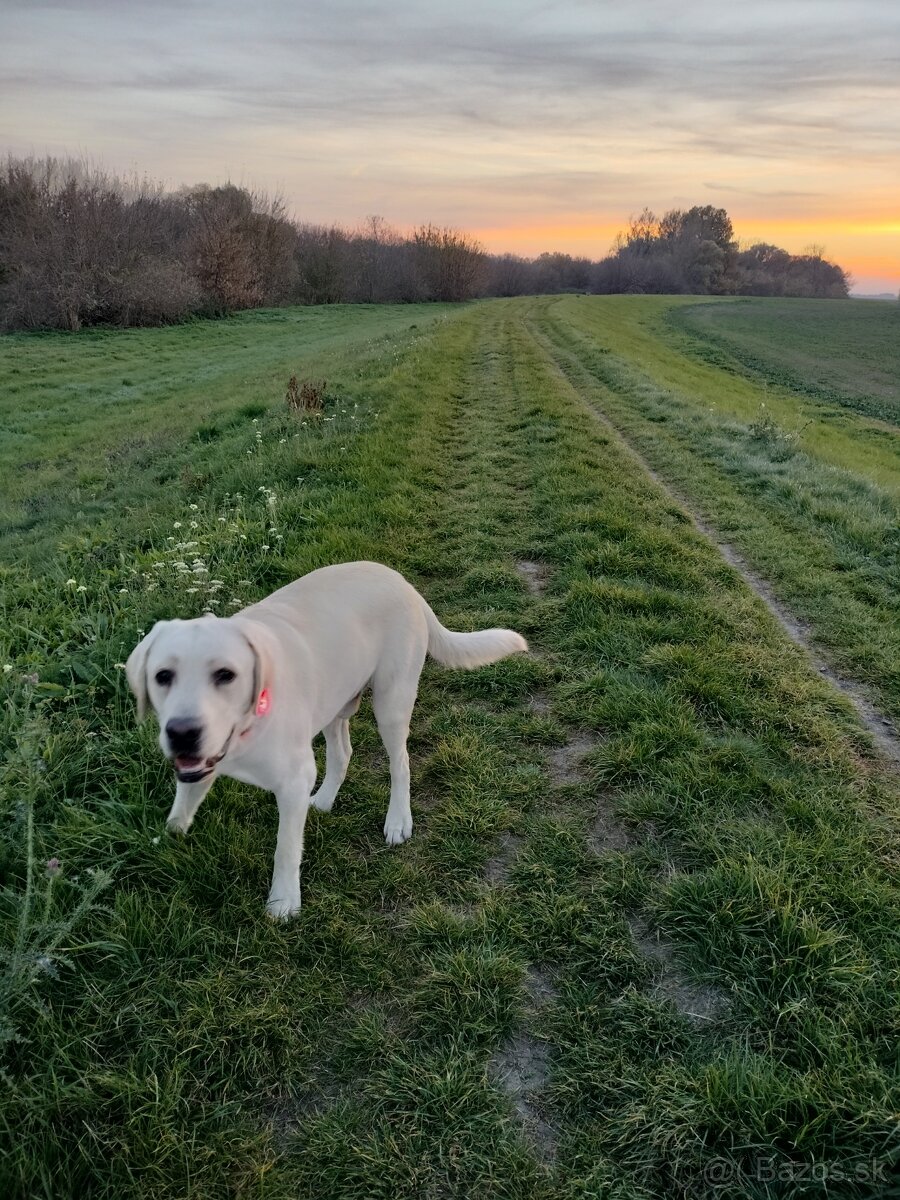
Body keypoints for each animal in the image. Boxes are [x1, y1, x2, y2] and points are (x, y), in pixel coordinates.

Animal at [123, 561, 525, 916]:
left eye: (226, 675)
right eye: (162, 676)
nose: (182, 732)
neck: (247, 726)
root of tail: (401, 581)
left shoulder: (292, 781)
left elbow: (285, 848)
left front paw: (283, 902)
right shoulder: (197, 767)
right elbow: (181, 806)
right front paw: (166, 840)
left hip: (391, 703)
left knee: (401, 763)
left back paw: (398, 819)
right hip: (335, 701)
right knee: (342, 753)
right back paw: (326, 799)